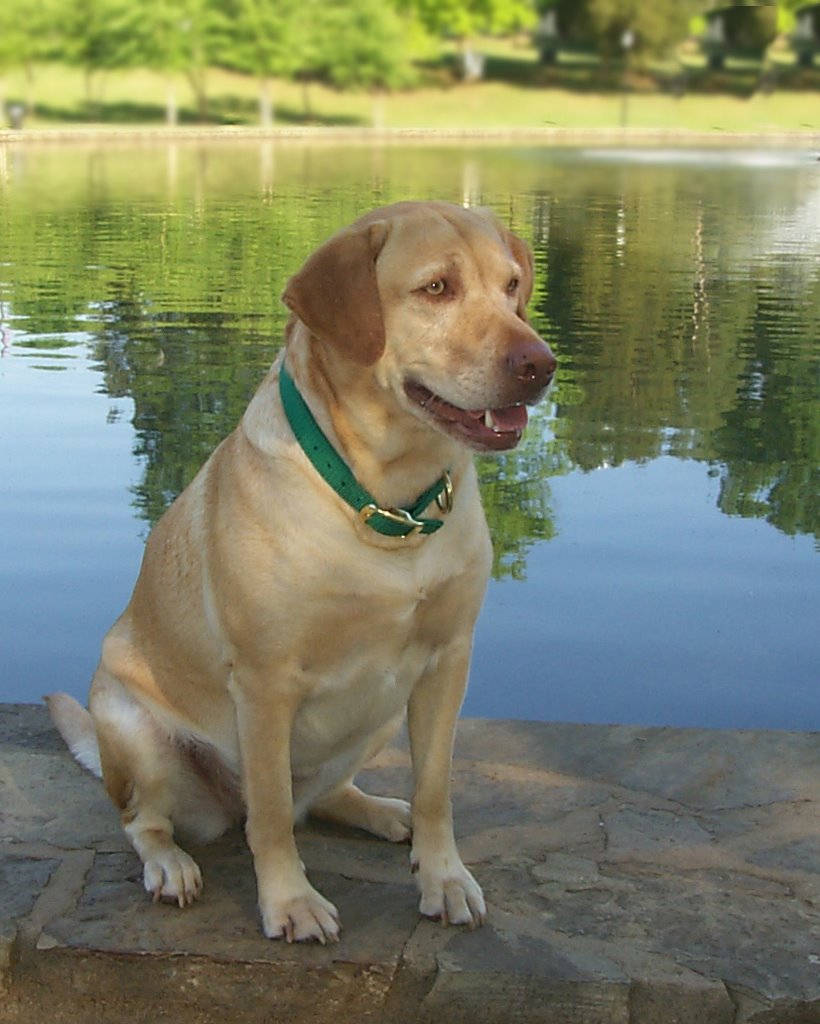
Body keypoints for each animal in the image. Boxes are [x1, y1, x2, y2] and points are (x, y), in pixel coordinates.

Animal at [46, 201, 556, 942]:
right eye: (436, 288)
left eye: (512, 285)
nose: (541, 364)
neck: (384, 502)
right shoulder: (266, 681)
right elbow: (269, 818)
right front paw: (289, 901)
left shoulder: (446, 661)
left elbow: (436, 789)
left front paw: (444, 878)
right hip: (135, 732)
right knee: (154, 821)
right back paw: (170, 866)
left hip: (380, 712)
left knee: (320, 797)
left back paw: (383, 810)